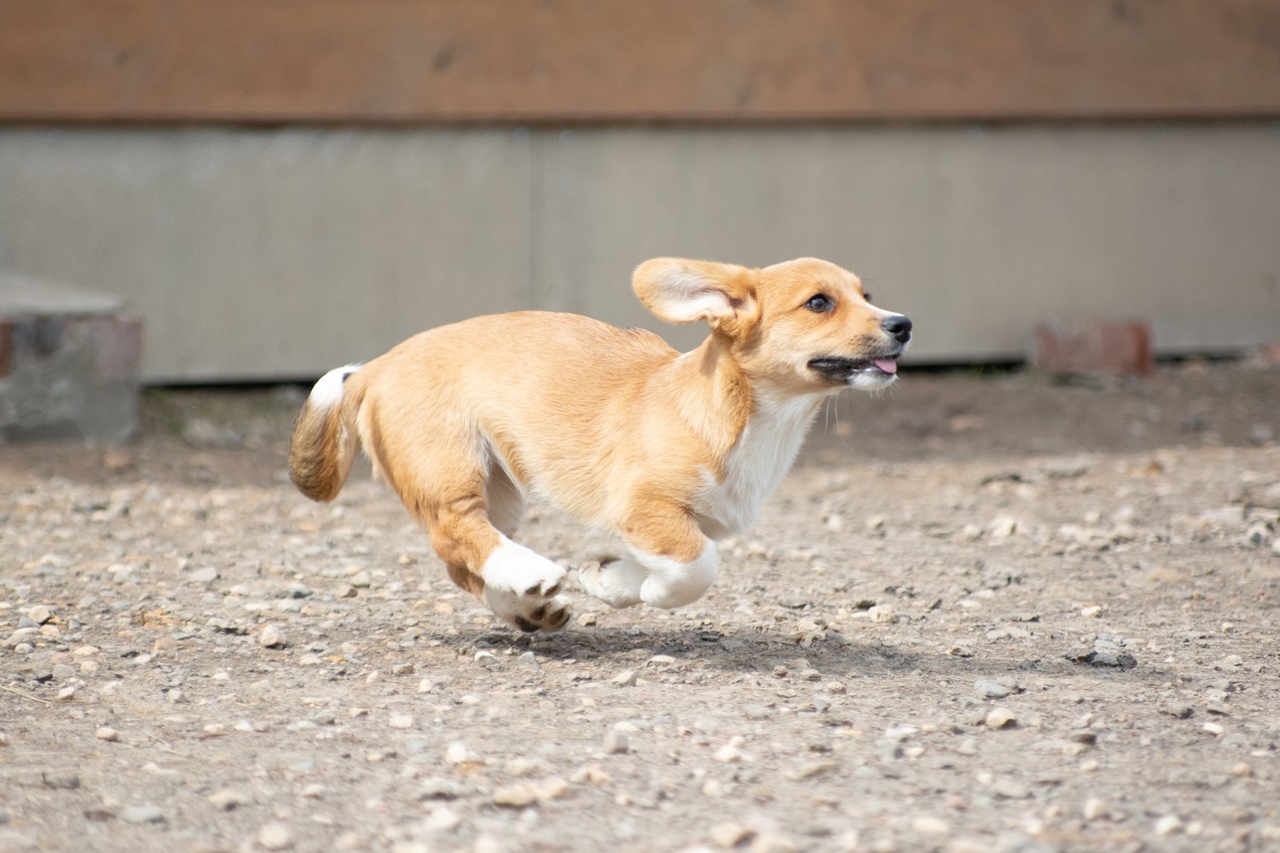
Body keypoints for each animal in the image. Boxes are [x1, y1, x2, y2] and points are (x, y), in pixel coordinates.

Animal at [290, 258, 911, 630]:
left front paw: (607, 580)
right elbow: (697, 569)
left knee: (458, 561)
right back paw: (527, 573)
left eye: (867, 294)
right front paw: (636, 588)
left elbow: (665, 562)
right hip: (450, 467)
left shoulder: (682, 525)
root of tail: (376, 366)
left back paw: (525, 607)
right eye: (818, 303)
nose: (903, 323)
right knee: (456, 531)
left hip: (501, 488)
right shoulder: (648, 510)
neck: (752, 420)